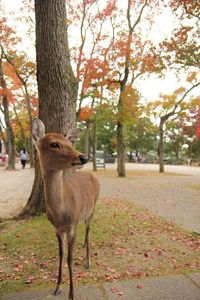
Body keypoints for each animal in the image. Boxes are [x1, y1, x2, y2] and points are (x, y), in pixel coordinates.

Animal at [31, 118, 99, 298]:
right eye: (54, 144)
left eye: (69, 142)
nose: (83, 157)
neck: (60, 213)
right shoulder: (57, 228)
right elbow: (61, 255)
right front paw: (57, 288)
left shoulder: (71, 226)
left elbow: (69, 258)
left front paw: (71, 295)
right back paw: (83, 247)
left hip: (93, 209)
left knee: (89, 231)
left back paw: (88, 262)